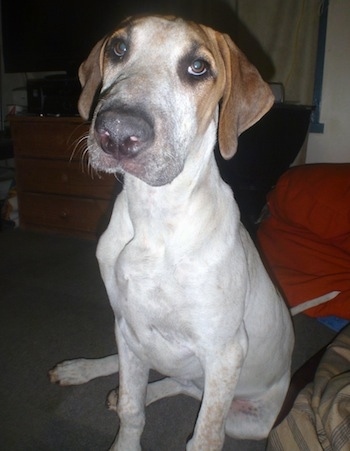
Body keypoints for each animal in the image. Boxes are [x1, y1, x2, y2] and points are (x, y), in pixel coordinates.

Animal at [49, 15, 294, 451]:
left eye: (198, 67)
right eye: (118, 48)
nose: (116, 132)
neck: (154, 218)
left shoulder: (225, 352)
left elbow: (203, 436)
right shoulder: (127, 323)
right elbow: (132, 411)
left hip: (247, 420)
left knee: (186, 388)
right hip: (130, 336)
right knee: (161, 380)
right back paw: (80, 370)